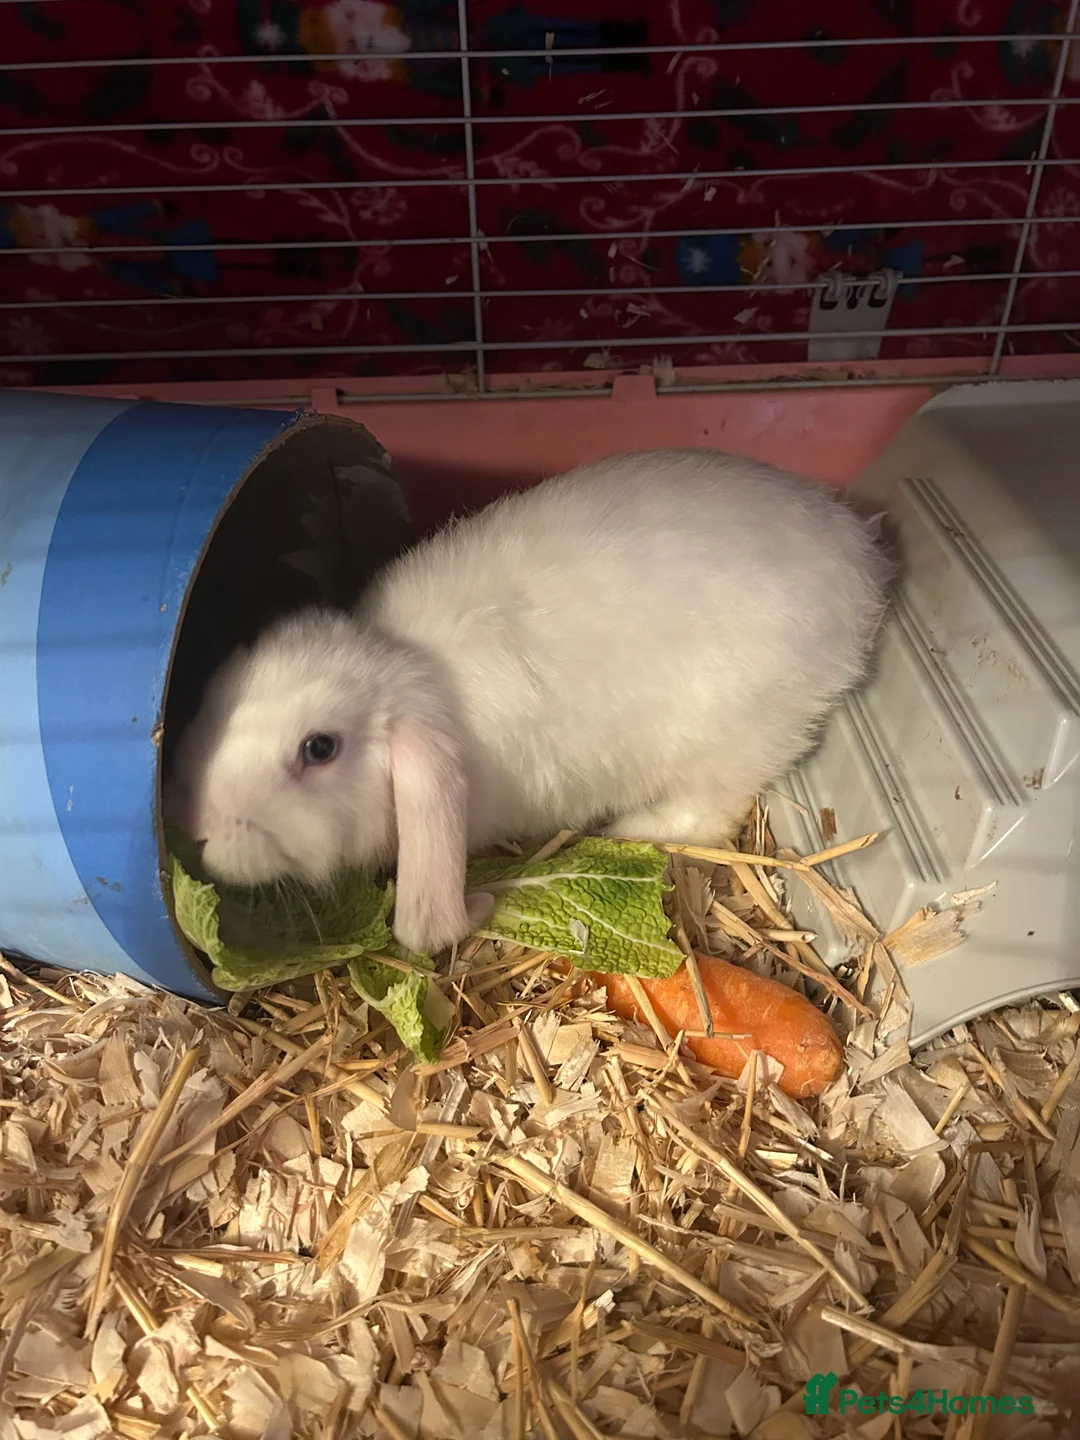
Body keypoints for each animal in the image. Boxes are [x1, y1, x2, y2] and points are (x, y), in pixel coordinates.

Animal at [166, 448, 892, 957]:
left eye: (319, 749)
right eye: (219, 691)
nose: (195, 823)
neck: (410, 664)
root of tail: (861, 563)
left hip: (736, 734)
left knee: (708, 810)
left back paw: (632, 830)